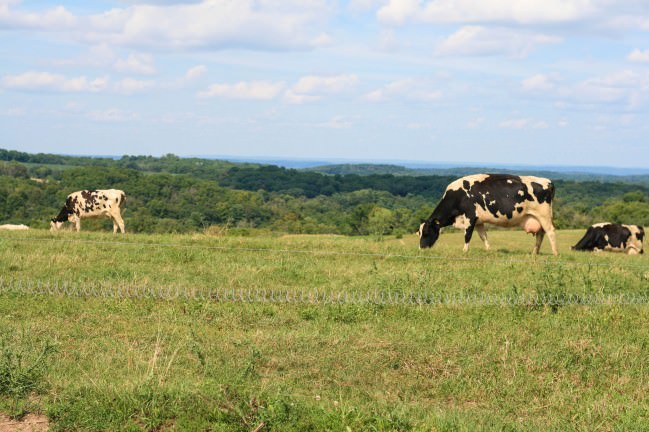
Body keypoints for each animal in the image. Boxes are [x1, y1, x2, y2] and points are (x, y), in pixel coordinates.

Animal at [420, 174, 556, 255]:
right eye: (419, 233)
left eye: (426, 232)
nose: (421, 248)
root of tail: (547, 181)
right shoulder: (478, 221)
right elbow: (483, 236)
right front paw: (488, 250)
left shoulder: (470, 216)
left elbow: (467, 235)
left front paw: (464, 251)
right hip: (537, 218)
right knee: (540, 234)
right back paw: (534, 253)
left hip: (544, 215)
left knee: (551, 232)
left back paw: (555, 253)